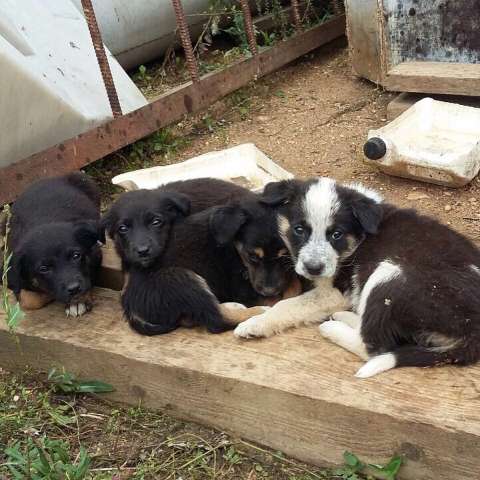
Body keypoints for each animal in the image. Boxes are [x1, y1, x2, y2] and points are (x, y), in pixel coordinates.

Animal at [5, 172, 104, 316]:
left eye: (76, 256)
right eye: (44, 269)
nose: (74, 289)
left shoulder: (94, 256)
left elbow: (88, 277)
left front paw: (77, 302)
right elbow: (29, 301)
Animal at [234, 176, 480, 378]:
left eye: (336, 234)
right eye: (299, 230)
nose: (313, 268)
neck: (359, 237)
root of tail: (474, 332)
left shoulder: (336, 291)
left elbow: (288, 305)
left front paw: (255, 324)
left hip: (390, 275)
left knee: (373, 345)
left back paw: (333, 328)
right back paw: (346, 316)